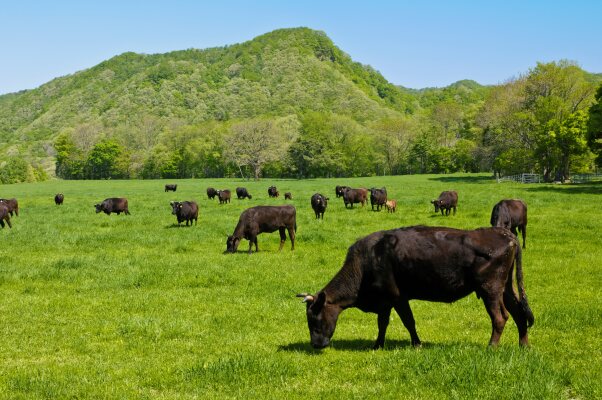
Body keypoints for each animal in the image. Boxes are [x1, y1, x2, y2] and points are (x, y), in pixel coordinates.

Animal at [298, 225, 532, 350]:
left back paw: (491, 346)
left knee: (500, 317)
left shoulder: (397, 297)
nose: (315, 344)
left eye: (314, 318)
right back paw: (524, 346)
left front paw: (417, 344)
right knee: (519, 314)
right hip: (506, 288)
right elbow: (382, 324)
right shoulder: (384, 301)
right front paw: (377, 345)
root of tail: (506, 234)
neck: (366, 262)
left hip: (490, 290)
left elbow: (408, 321)